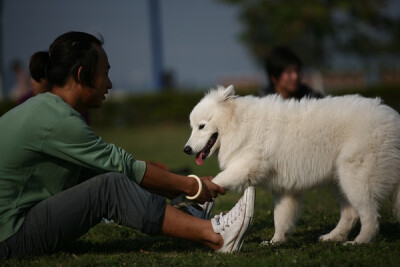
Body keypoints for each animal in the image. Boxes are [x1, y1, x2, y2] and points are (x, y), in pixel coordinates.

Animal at [184, 86, 400, 245]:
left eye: (201, 126)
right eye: (192, 127)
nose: (186, 149)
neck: (240, 124)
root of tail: (394, 120)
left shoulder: (247, 166)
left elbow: (220, 179)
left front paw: (194, 195)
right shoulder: (284, 189)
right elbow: (281, 218)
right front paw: (276, 242)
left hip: (355, 178)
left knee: (371, 217)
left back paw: (359, 242)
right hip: (341, 181)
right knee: (351, 214)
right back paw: (333, 237)